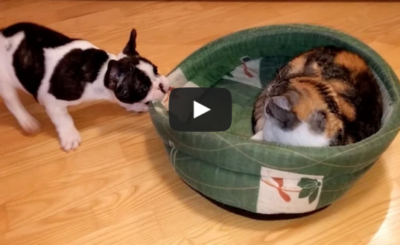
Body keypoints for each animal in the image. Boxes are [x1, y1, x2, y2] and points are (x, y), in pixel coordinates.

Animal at [0, 22, 169, 151]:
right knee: (12, 101)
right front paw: (70, 137)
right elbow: (63, 118)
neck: (101, 71)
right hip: (5, 81)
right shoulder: (51, 101)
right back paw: (27, 122)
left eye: (156, 70)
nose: (162, 85)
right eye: (143, 88)